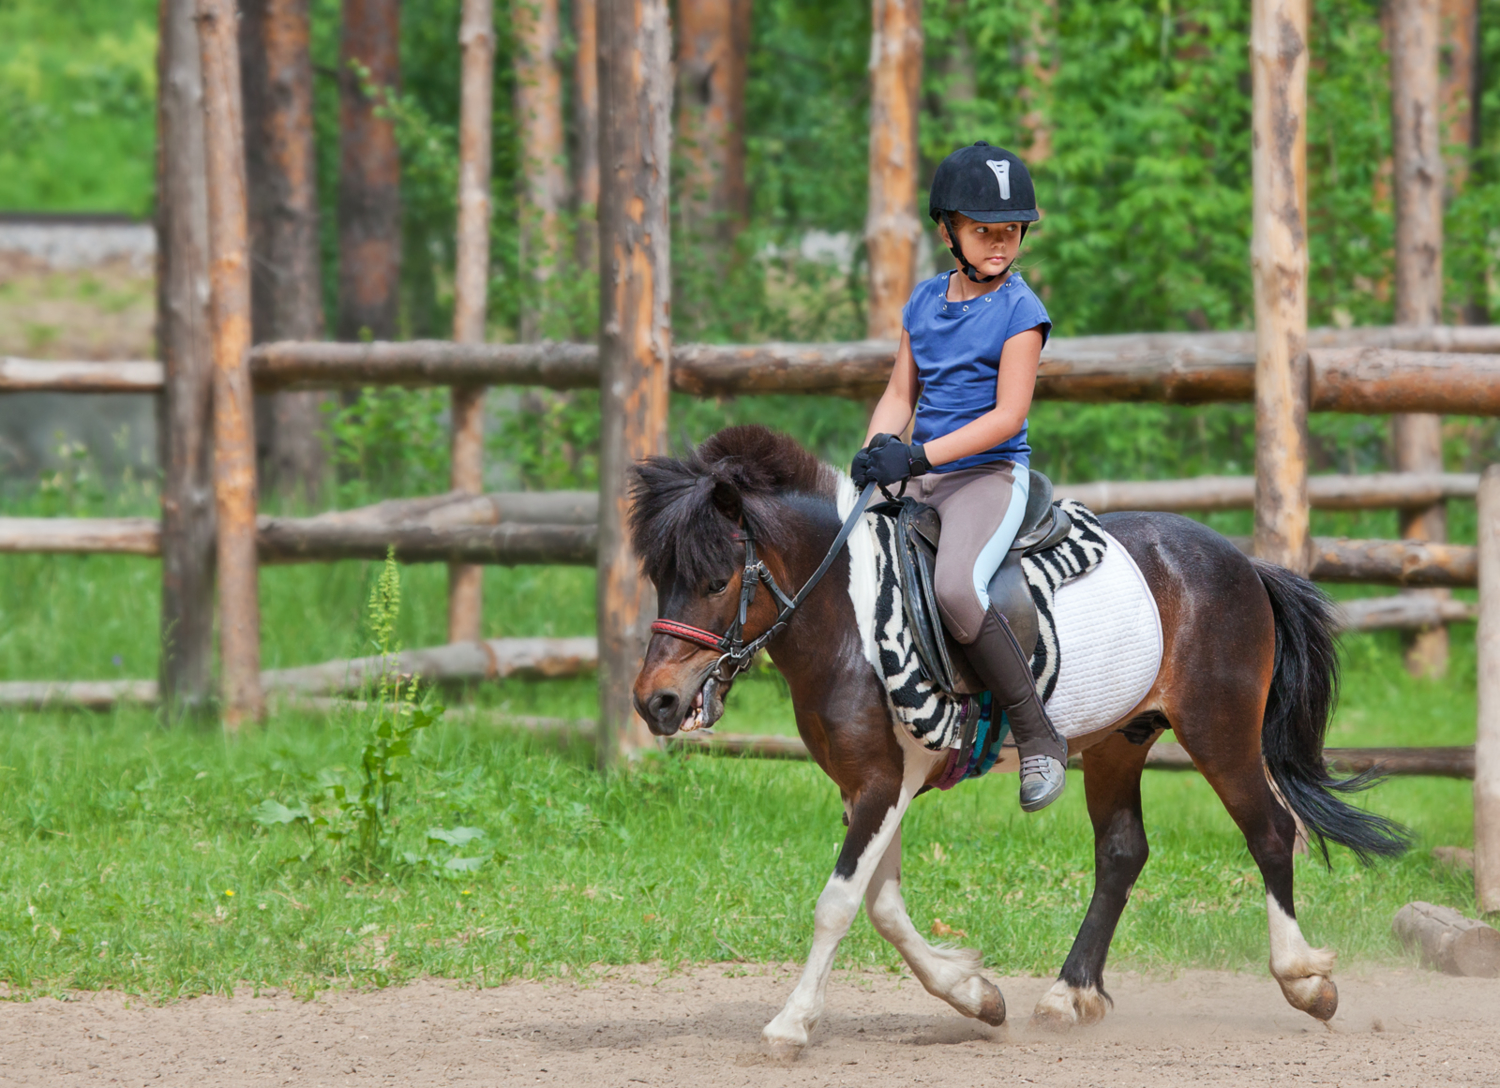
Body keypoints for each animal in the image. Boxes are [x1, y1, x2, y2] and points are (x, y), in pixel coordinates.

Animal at [624, 423, 1404, 1050]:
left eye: (718, 580)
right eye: (658, 576)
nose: (655, 702)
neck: (849, 618)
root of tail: (1241, 561)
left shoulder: (880, 782)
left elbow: (839, 903)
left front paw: (791, 1024)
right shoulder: (874, 783)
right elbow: (883, 905)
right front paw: (974, 995)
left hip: (1220, 730)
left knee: (1271, 831)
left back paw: (1304, 981)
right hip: (1119, 742)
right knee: (1122, 852)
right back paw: (1068, 994)